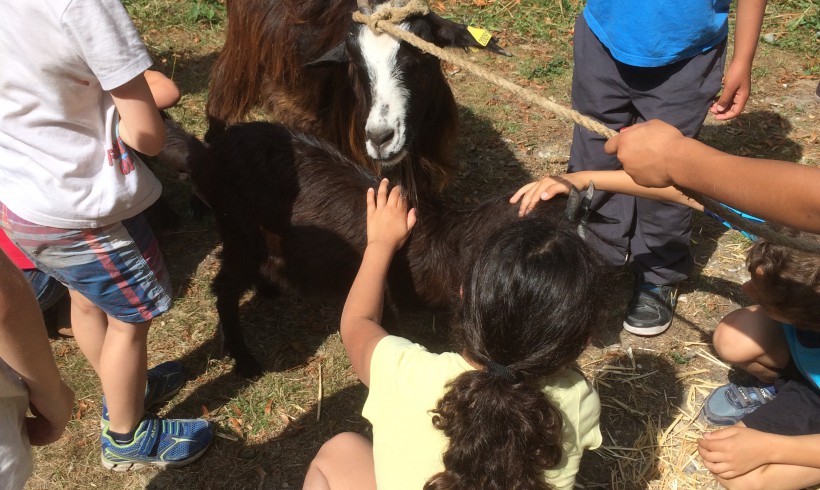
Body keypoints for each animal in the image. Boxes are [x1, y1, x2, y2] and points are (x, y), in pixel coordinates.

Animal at [167, 119, 588, 378]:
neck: (448, 241)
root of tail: (205, 156)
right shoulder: (386, 294)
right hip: (240, 232)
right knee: (223, 287)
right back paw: (245, 360)